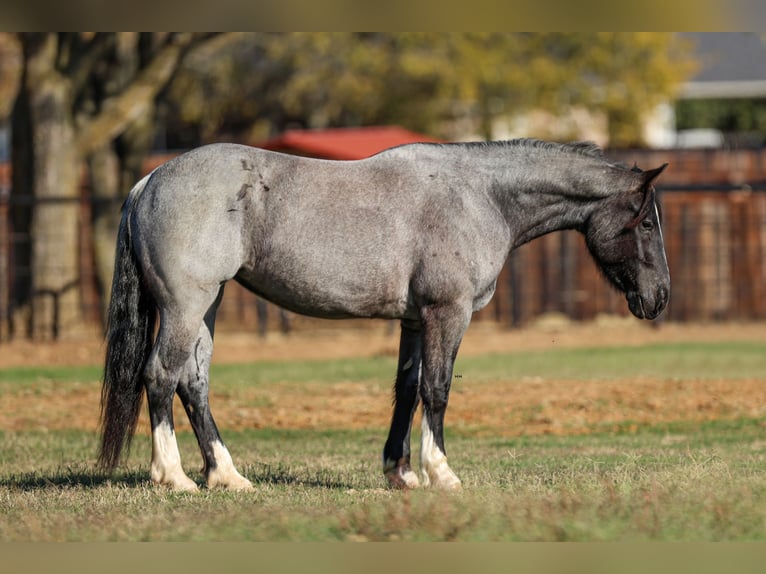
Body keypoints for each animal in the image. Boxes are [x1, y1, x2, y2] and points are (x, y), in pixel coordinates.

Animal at [99, 138, 668, 490]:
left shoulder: (415, 319)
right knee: (161, 376)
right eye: (645, 224)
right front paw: (441, 473)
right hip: (185, 305)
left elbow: (407, 389)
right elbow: (437, 390)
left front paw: (402, 473)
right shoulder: (447, 313)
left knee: (193, 383)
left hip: (207, 305)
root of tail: (150, 180)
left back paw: (227, 476)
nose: (660, 298)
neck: (478, 196)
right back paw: (174, 476)